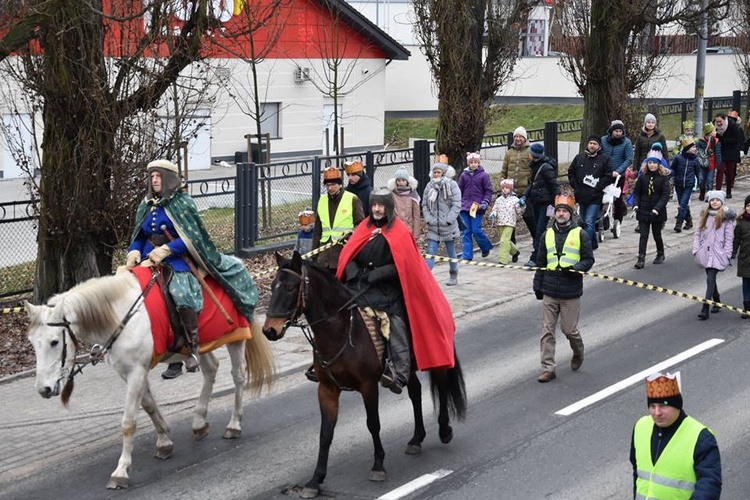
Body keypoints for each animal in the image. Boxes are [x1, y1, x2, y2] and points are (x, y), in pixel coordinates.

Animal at [26, 272, 280, 490]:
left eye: (54, 342)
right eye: (32, 343)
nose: (43, 389)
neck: (120, 315)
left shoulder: (136, 372)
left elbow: (129, 422)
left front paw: (121, 471)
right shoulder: (129, 372)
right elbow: (148, 406)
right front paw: (164, 441)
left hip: (236, 339)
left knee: (238, 377)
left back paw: (234, 425)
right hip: (202, 345)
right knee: (211, 370)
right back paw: (199, 422)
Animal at [262, 252, 464, 498]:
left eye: (291, 288)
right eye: (273, 286)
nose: (269, 330)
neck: (340, 331)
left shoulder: (368, 386)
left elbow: (373, 424)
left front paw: (378, 466)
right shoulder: (327, 389)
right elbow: (325, 433)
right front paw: (315, 480)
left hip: (434, 354)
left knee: (442, 386)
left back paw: (444, 430)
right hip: (407, 367)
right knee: (415, 392)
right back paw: (416, 439)